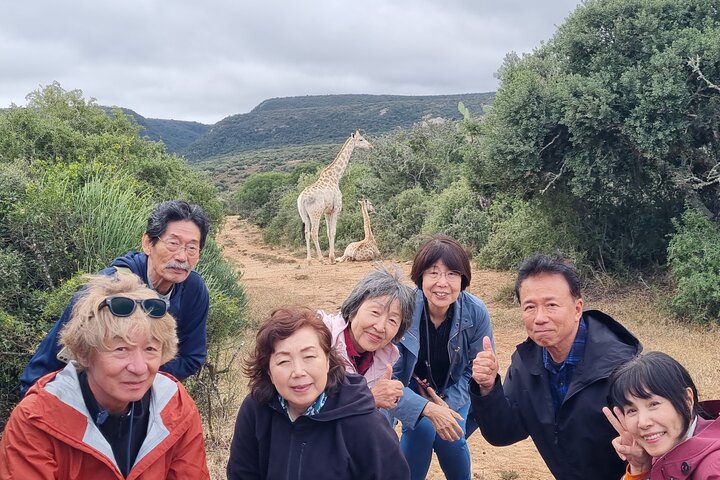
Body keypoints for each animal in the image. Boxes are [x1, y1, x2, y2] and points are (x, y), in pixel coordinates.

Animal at [297, 130, 372, 264]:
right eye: (361, 139)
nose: (371, 146)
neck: (335, 178)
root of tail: (302, 200)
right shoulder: (336, 208)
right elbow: (333, 232)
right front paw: (332, 258)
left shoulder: (327, 211)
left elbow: (328, 232)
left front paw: (331, 258)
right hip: (315, 213)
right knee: (313, 233)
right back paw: (321, 259)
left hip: (304, 215)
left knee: (306, 233)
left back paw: (309, 260)